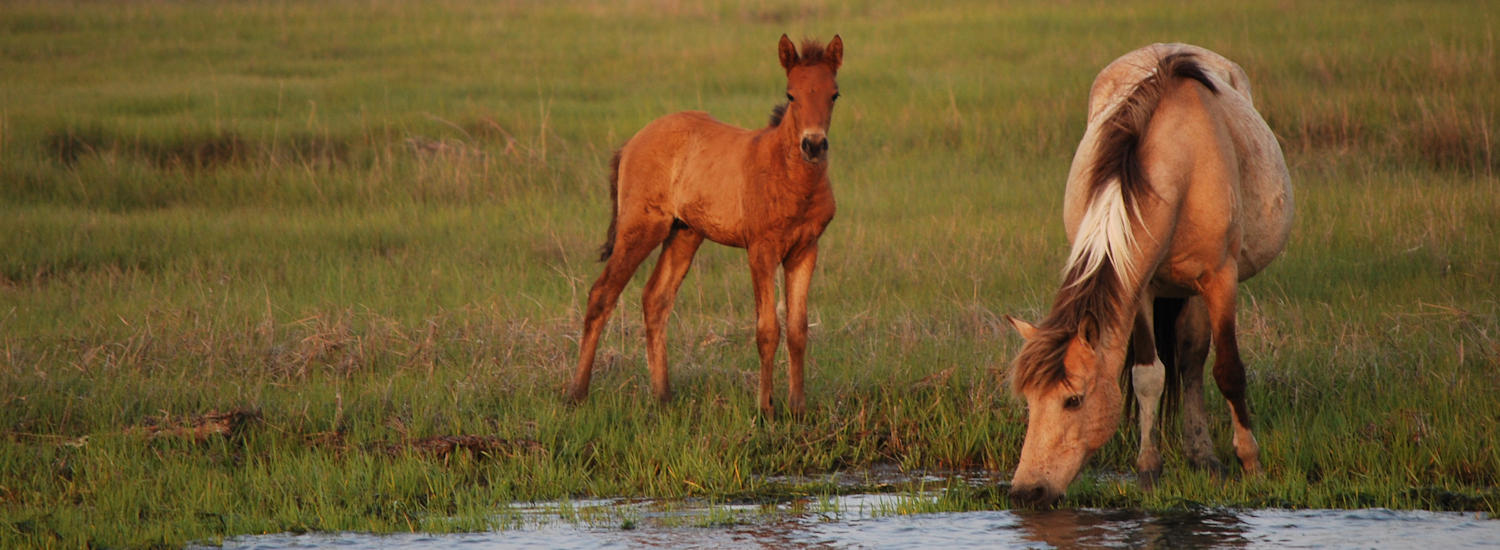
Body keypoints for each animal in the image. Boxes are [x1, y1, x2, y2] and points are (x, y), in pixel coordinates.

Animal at [567, 35, 846, 416]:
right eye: (791, 94)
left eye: (834, 94)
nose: (814, 145)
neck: (789, 175)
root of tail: (631, 143)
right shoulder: (760, 249)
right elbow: (767, 329)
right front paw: (766, 410)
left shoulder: (805, 250)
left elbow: (798, 329)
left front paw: (798, 409)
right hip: (640, 226)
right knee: (602, 294)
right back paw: (576, 394)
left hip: (684, 233)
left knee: (655, 299)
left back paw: (663, 397)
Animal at [1002, 44, 1296, 509]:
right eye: (1029, 401)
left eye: (1073, 400)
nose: (1026, 491)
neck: (1182, 163)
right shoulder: (1139, 287)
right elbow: (1148, 376)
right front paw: (1148, 471)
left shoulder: (1221, 279)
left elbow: (1229, 371)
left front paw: (1252, 466)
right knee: (1187, 360)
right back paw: (1200, 456)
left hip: (1197, 290)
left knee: (1194, 362)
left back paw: (1207, 459)